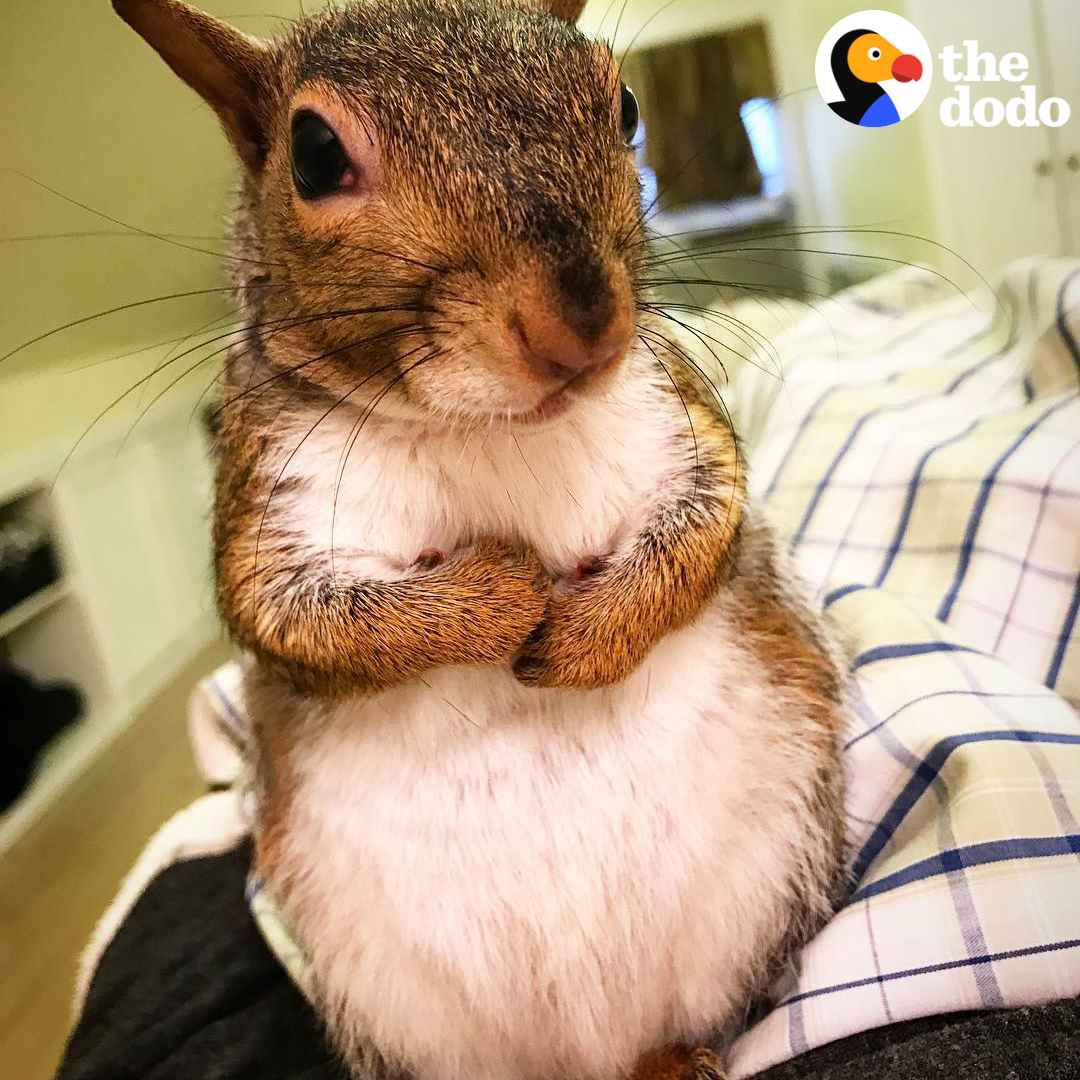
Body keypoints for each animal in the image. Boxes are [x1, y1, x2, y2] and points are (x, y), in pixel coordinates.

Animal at [113, 2, 849, 1079]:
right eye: (315, 152)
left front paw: (588, 636)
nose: (583, 324)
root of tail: (584, 1054)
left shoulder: (674, 413)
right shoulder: (267, 494)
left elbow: (706, 525)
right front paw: (494, 598)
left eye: (624, 106)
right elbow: (296, 618)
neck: (479, 426)